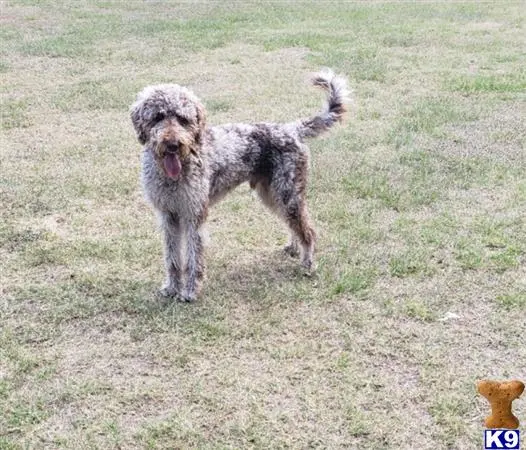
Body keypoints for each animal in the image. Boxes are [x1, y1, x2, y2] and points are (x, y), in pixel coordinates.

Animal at [131, 69, 350, 302]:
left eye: (183, 119)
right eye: (158, 117)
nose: (173, 144)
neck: (175, 172)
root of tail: (292, 129)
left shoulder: (193, 215)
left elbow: (192, 258)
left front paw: (190, 291)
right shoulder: (168, 215)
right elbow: (172, 258)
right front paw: (172, 288)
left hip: (287, 193)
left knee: (307, 230)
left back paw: (307, 263)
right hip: (272, 194)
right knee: (295, 224)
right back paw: (293, 247)